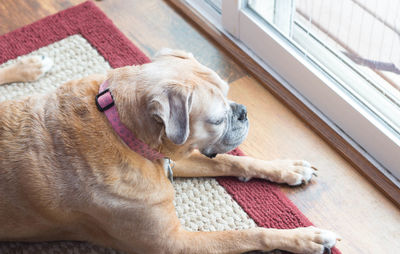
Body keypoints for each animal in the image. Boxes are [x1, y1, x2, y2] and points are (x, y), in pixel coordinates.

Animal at [0, 49, 338, 254]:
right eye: (217, 120)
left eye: (229, 93)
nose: (242, 112)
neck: (121, 128)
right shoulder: (175, 243)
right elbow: (245, 234)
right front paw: (304, 237)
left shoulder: (175, 155)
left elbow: (230, 161)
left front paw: (287, 169)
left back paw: (28, 66)